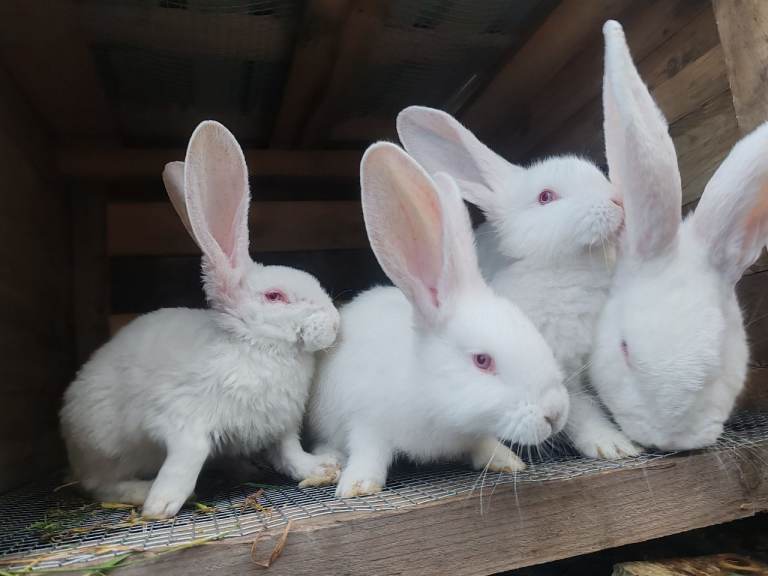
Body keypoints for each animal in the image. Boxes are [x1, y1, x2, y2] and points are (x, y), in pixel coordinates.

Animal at [60, 120, 341, 518]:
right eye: (275, 297)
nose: (335, 324)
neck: (255, 346)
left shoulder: (282, 426)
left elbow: (289, 453)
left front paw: (320, 470)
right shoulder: (179, 420)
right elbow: (188, 456)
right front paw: (162, 505)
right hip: (104, 446)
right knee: (99, 484)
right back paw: (140, 492)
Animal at [306, 142, 569, 498]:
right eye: (482, 360)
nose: (555, 413)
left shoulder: (474, 433)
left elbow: (485, 443)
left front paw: (507, 461)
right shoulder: (366, 421)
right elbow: (368, 450)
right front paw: (358, 486)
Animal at [396, 107, 636, 459]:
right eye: (546, 197)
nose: (617, 200)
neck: (567, 270)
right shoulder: (561, 371)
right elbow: (579, 409)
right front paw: (612, 445)